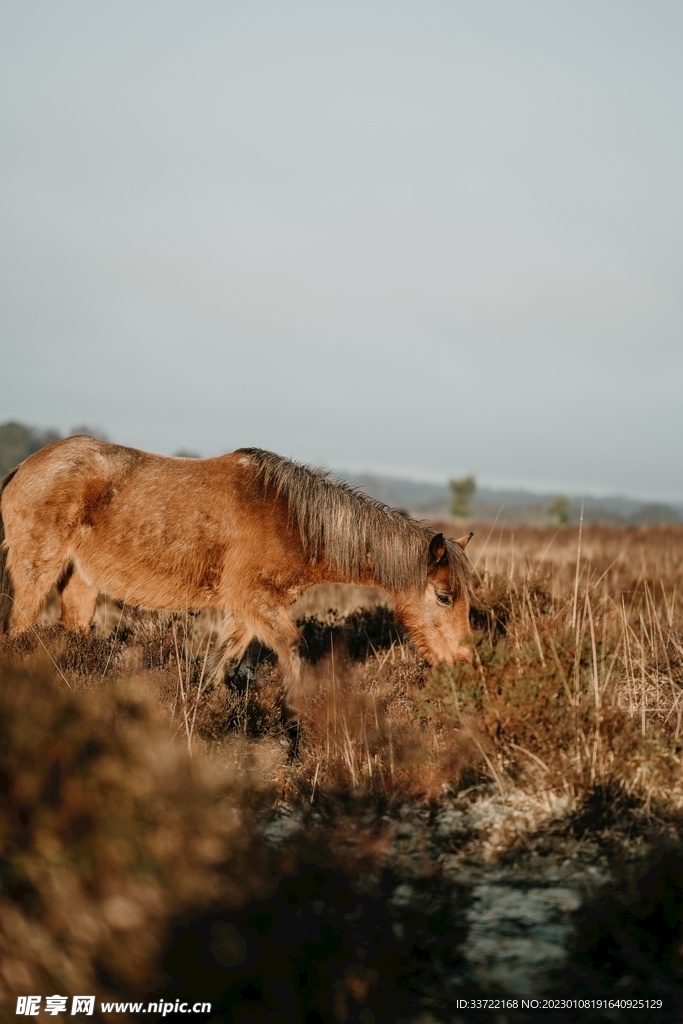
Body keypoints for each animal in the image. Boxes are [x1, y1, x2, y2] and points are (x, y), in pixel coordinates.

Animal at [0, 437, 474, 703]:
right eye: (444, 597)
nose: (463, 665)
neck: (291, 517)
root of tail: (23, 467)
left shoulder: (247, 610)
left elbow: (222, 664)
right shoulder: (254, 601)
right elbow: (293, 650)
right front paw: (293, 723)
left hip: (80, 581)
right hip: (36, 572)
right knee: (18, 633)